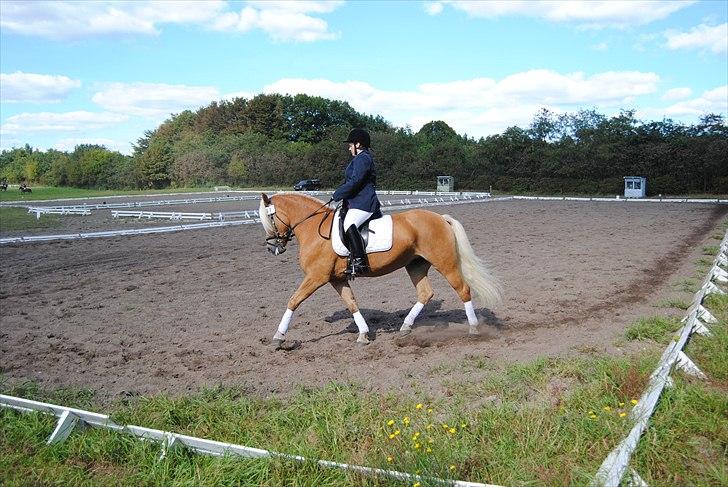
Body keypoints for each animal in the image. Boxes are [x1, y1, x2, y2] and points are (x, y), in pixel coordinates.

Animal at [258, 193, 504, 348]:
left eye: (269, 217)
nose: (272, 247)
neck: (313, 229)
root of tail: (441, 218)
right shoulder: (336, 279)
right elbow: (351, 303)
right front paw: (363, 335)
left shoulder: (316, 277)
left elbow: (293, 300)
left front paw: (279, 337)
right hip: (415, 265)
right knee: (425, 293)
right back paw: (405, 327)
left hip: (445, 263)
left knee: (463, 290)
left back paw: (473, 329)